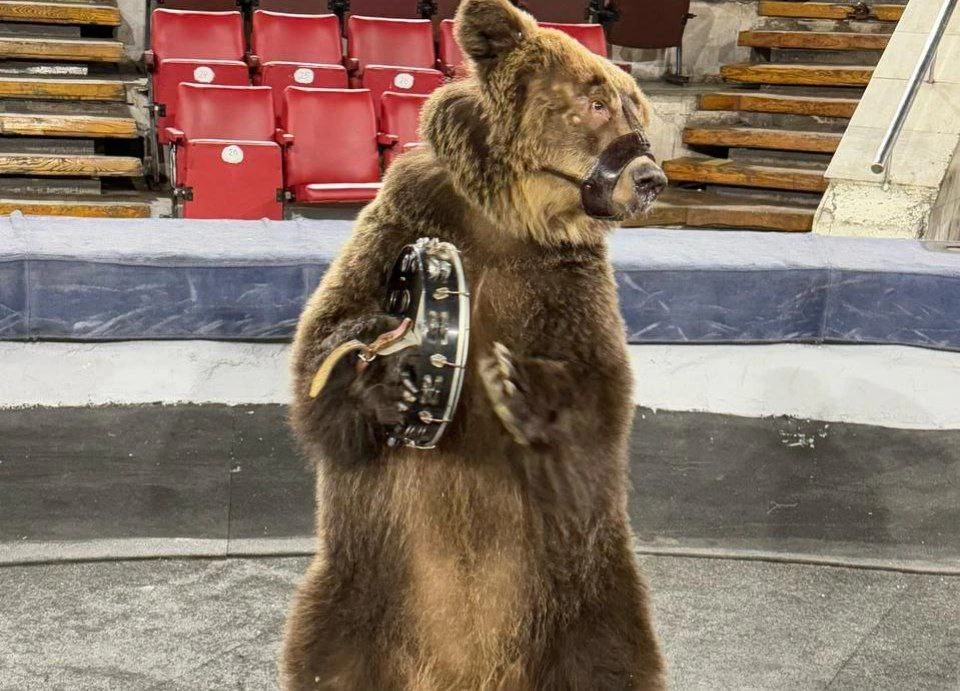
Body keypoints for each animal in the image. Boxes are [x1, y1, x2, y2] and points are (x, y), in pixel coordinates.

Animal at [280, 2, 668, 688]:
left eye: (636, 108)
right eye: (596, 101)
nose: (651, 178)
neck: (507, 219)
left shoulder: (565, 280)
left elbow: (601, 390)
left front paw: (524, 388)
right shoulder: (403, 219)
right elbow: (321, 348)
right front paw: (381, 378)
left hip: (586, 596)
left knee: (612, 655)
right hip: (360, 590)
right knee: (325, 651)